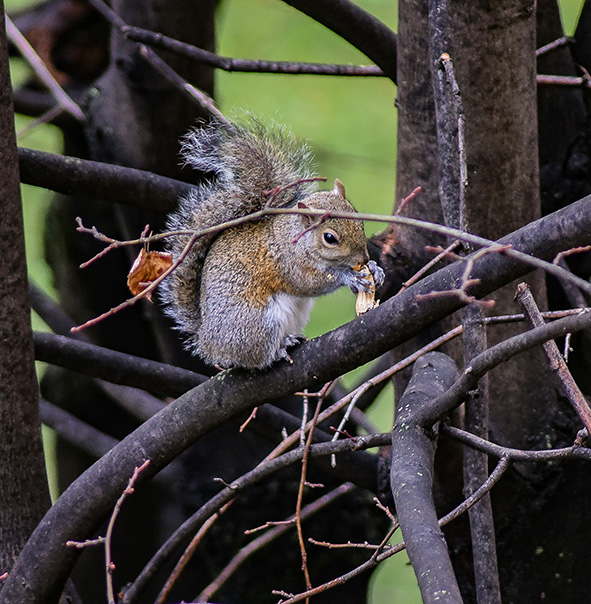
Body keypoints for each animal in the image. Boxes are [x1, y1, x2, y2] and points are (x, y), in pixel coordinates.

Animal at [160, 119, 386, 368]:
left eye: (359, 219)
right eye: (330, 238)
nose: (363, 258)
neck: (297, 240)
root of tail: (208, 343)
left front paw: (375, 269)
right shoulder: (288, 263)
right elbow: (309, 283)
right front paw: (349, 277)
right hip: (256, 324)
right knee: (256, 357)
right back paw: (280, 349)